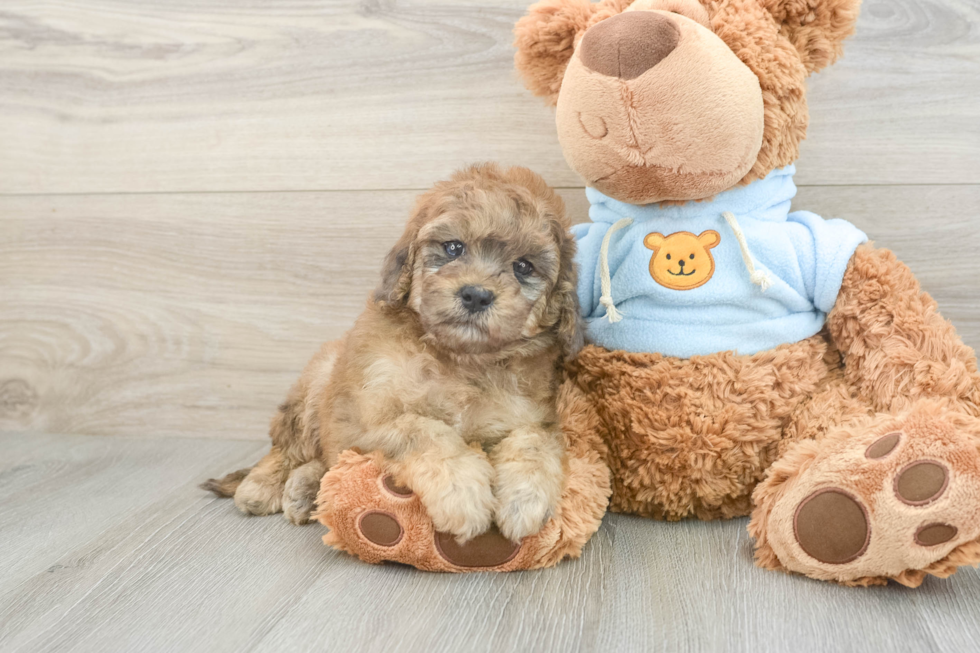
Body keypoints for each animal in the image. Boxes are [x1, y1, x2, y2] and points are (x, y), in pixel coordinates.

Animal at [202, 163, 580, 540]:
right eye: (453, 248)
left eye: (524, 267)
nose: (476, 295)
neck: (460, 358)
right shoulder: (365, 418)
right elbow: (423, 430)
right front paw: (462, 491)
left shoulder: (534, 415)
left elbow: (535, 441)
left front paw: (524, 501)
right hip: (318, 382)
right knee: (288, 446)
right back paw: (262, 486)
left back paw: (305, 492)